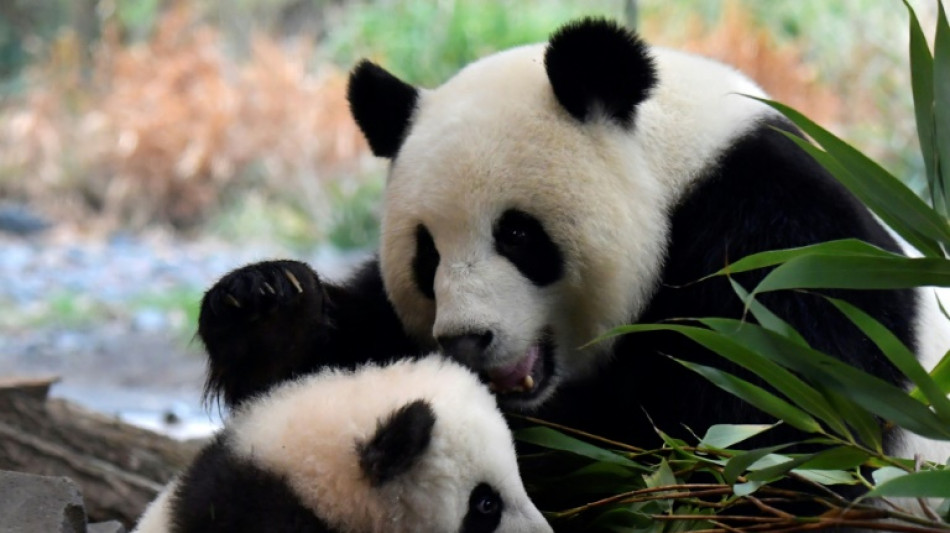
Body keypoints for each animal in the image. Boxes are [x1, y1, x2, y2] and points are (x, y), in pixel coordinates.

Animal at [199, 18, 950, 458]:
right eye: (426, 256)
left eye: (518, 234)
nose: (465, 339)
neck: (676, 169)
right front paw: (267, 309)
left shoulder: (782, 236)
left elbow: (757, 417)